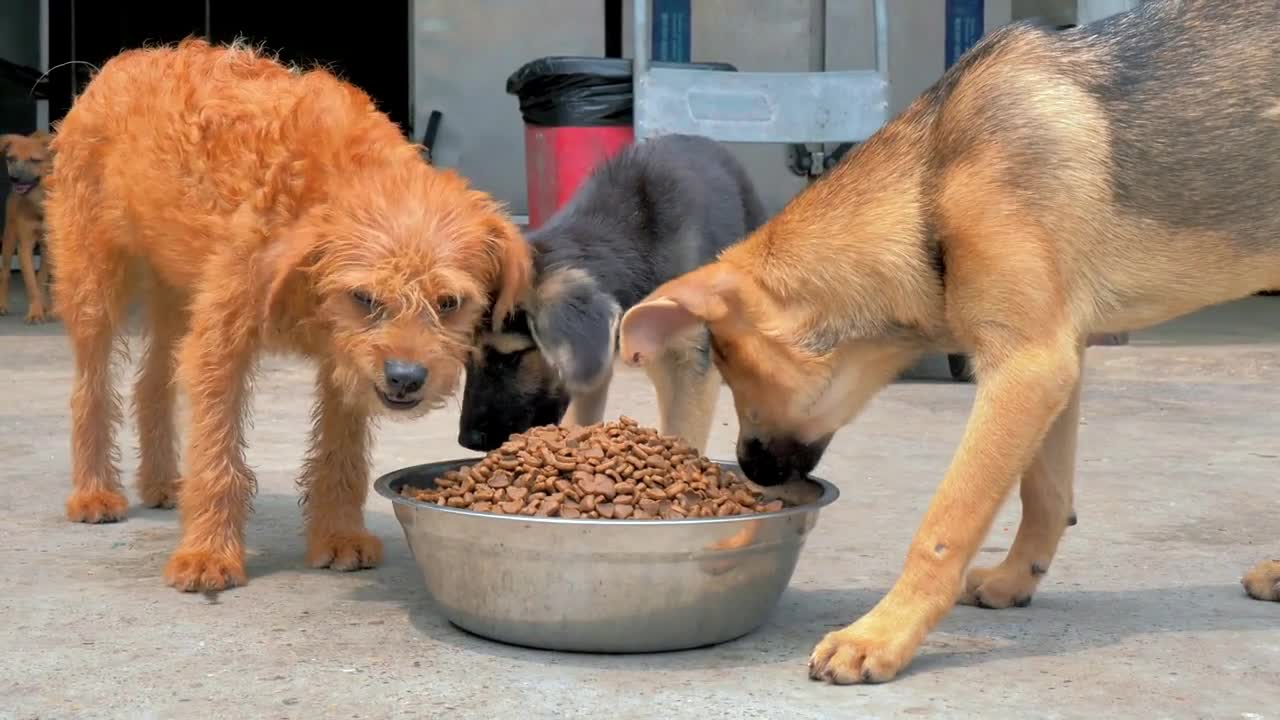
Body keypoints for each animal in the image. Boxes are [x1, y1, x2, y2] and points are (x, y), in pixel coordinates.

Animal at [1, 129, 56, 322]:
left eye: (34, 160)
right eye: (11, 158)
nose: (14, 178)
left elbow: (42, 279)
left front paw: (47, 309)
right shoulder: (24, 245)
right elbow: (31, 283)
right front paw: (35, 313)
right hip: (9, 239)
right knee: (5, 273)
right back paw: (2, 306)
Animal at [45, 36, 524, 591]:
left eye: (449, 303)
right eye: (364, 298)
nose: (406, 378)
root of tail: (123, 61)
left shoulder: (346, 361)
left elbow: (341, 452)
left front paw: (338, 536)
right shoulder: (222, 341)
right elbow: (218, 458)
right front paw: (208, 554)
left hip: (177, 293)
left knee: (152, 383)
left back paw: (163, 482)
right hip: (94, 285)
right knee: (91, 389)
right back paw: (95, 492)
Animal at [619, 0, 1280, 681]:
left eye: (732, 367)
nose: (749, 469)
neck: (929, 190)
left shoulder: (1027, 367)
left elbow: (946, 523)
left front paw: (881, 634)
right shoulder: (1057, 355)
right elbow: (1044, 491)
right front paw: (1017, 578)